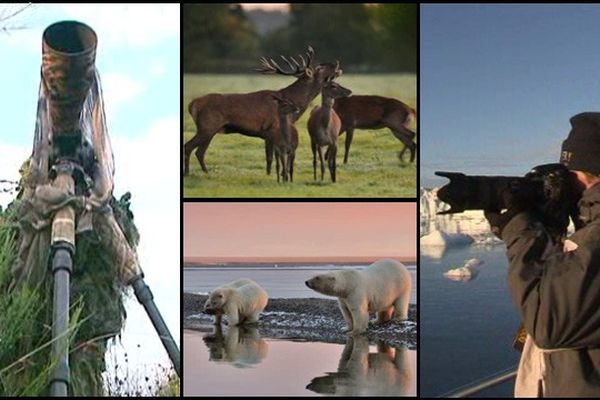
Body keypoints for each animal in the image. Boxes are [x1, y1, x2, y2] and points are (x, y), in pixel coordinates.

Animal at [183, 47, 342, 176]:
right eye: (319, 68)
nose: (336, 62)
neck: (292, 103)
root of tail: (193, 104)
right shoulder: (271, 129)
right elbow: (270, 157)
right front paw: (271, 176)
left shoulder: (267, 134)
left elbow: (269, 158)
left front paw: (269, 174)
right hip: (207, 126)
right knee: (189, 147)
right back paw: (188, 173)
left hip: (211, 129)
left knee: (199, 152)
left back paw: (206, 173)